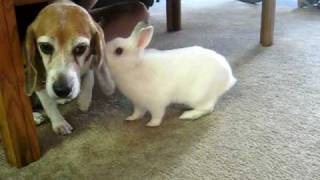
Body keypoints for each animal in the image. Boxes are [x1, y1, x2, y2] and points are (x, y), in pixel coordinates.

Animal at [25, 0, 115, 134]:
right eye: (45, 47)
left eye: (81, 48)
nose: (62, 90)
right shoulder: (38, 81)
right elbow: (49, 104)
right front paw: (59, 123)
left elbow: (89, 78)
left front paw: (84, 100)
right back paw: (35, 116)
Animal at [105, 22, 235, 126]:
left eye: (119, 51)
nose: (103, 55)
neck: (134, 67)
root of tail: (229, 77)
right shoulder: (138, 103)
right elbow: (138, 113)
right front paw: (130, 118)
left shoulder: (156, 103)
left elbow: (157, 115)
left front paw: (151, 124)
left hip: (199, 96)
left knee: (207, 109)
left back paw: (187, 115)